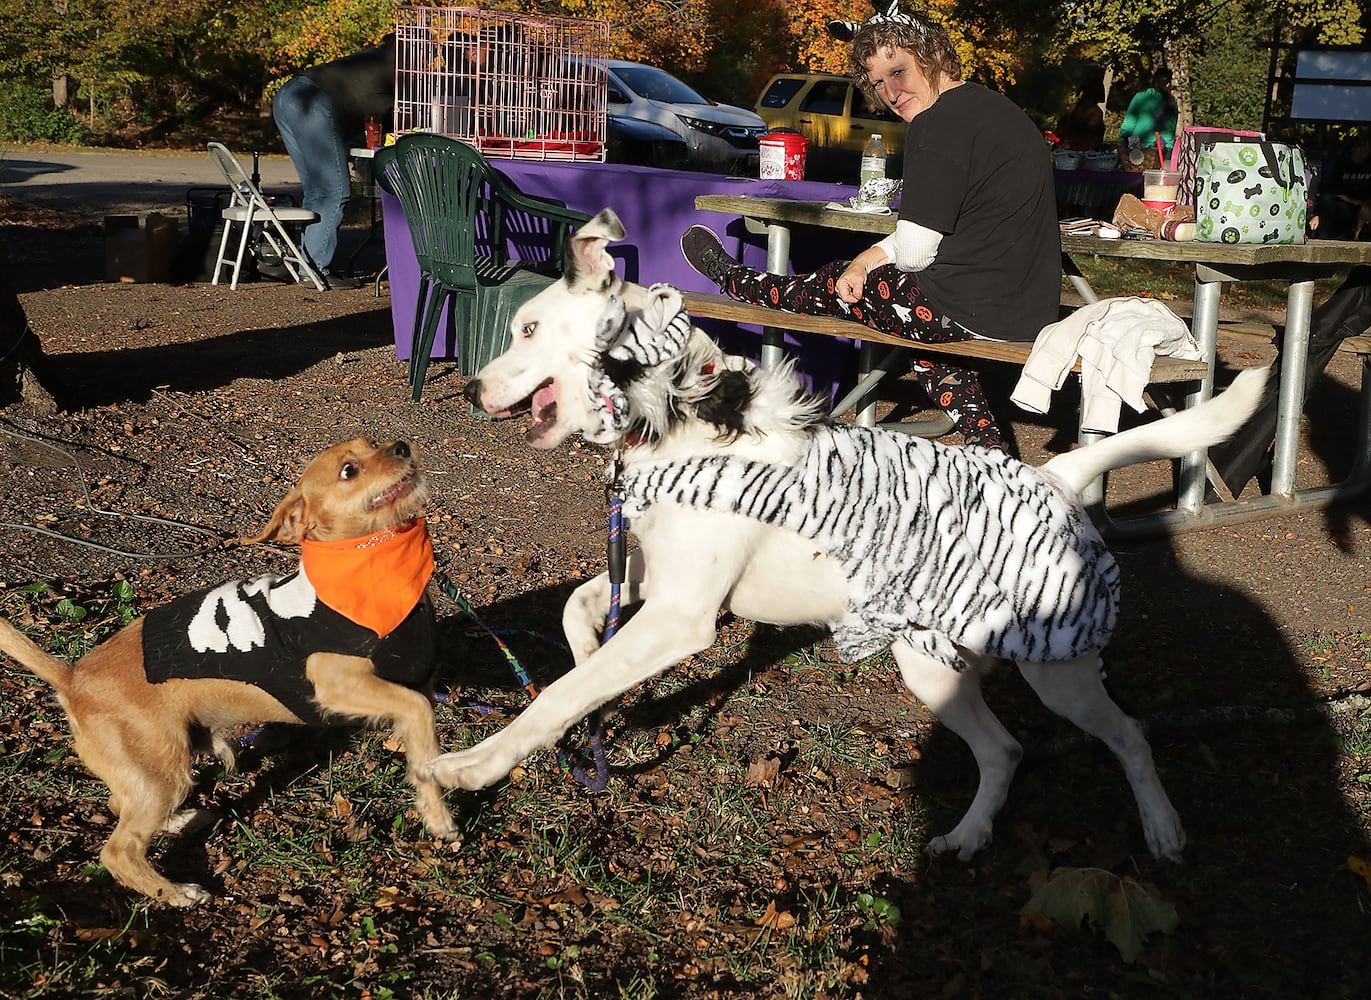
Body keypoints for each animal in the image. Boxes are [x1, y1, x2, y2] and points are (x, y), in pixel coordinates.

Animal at [0, 436, 460, 905]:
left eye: (373, 444)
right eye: (349, 470)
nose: (401, 445)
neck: (373, 564)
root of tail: (72, 677)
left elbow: (420, 737)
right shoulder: (339, 684)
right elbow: (421, 714)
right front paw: (439, 815)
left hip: (155, 770)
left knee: (119, 806)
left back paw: (179, 822)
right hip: (162, 767)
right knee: (118, 850)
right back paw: (175, 892)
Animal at [433, 208, 1266, 855]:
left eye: (527, 328)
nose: (470, 388)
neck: (683, 416)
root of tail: (1055, 476)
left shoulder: (681, 618)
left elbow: (550, 699)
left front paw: (474, 766)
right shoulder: (660, 579)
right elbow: (578, 615)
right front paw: (595, 684)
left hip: (1056, 672)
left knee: (1129, 735)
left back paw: (1161, 830)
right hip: (930, 665)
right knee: (1003, 752)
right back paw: (967, 837)